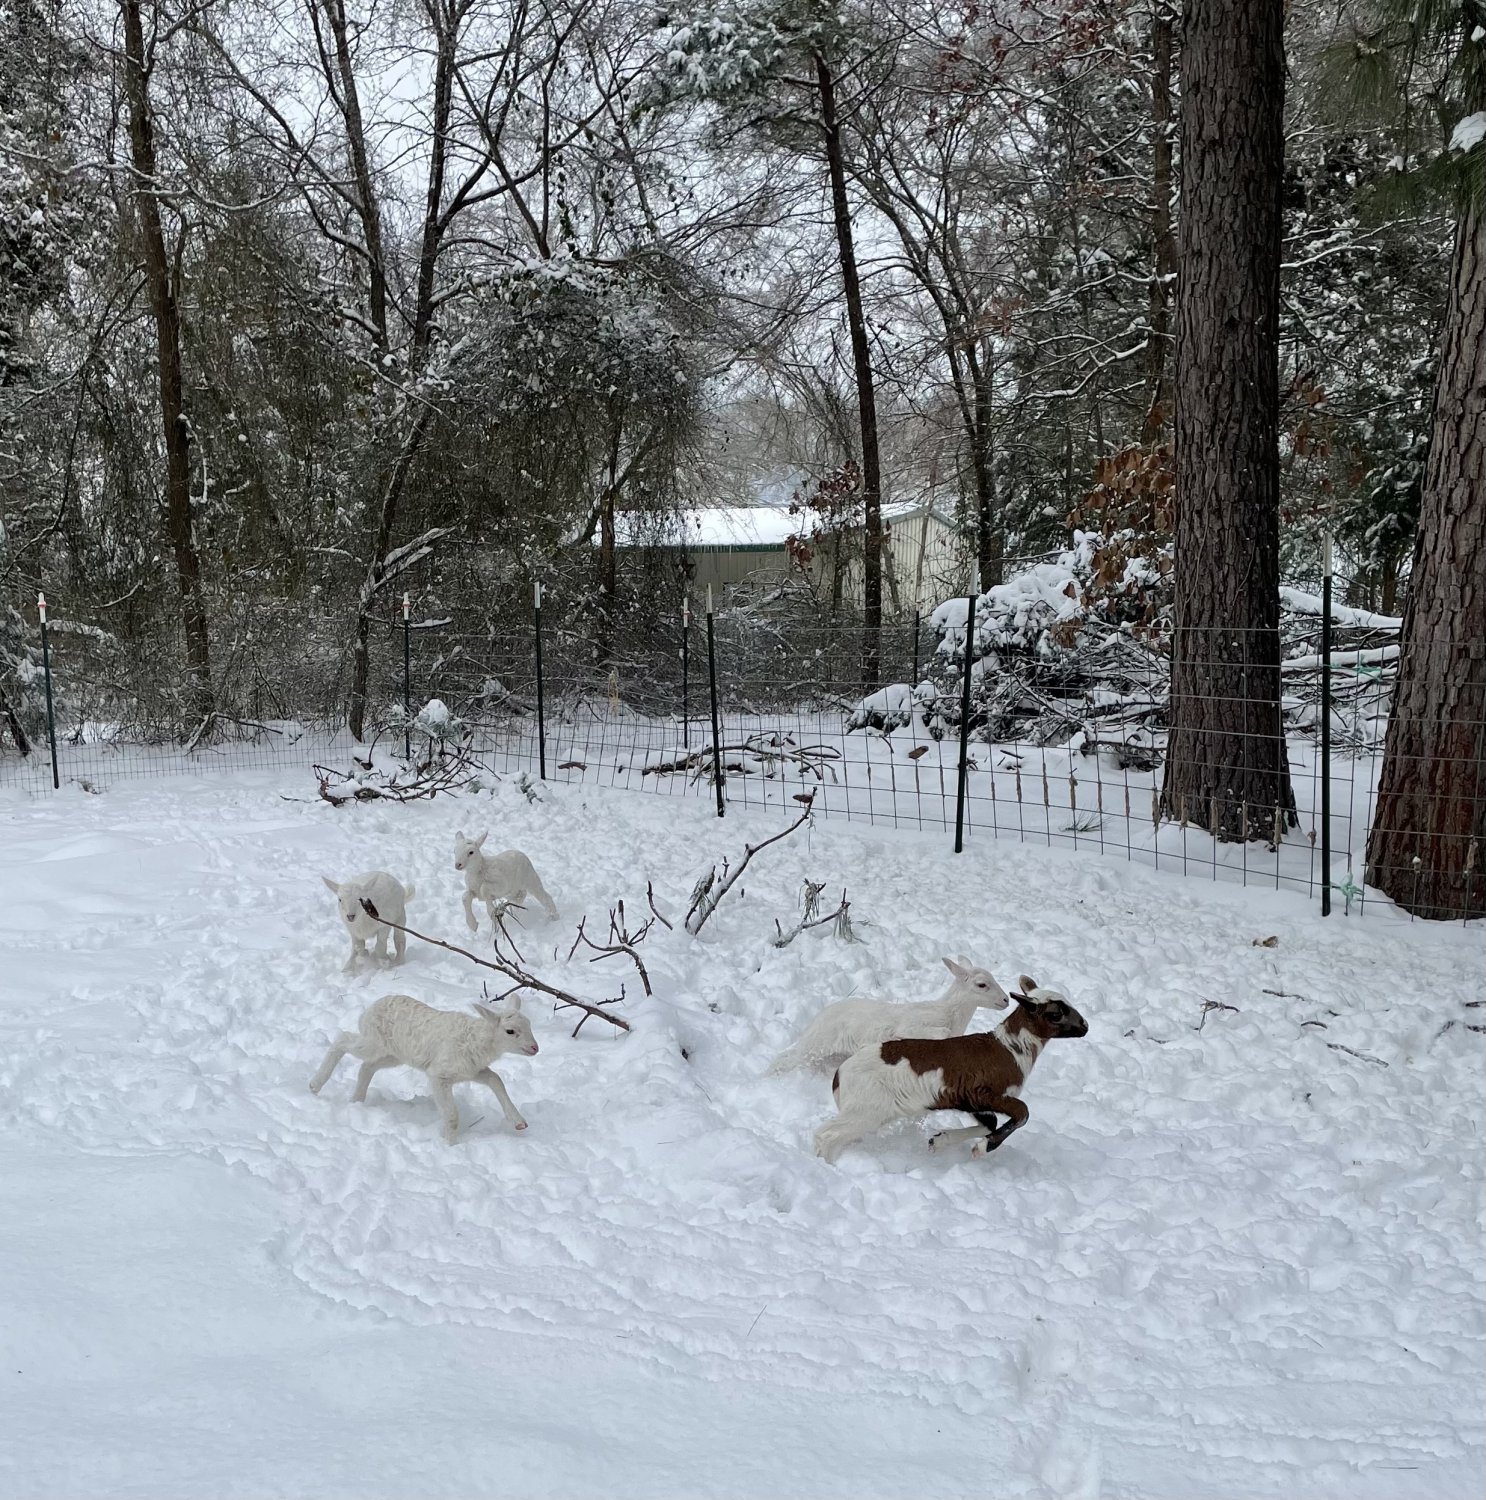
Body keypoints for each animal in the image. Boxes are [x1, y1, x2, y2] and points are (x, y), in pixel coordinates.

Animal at [309, 992, 539, 1144]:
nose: (535, 1048)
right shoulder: (439, 1074)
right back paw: (315, 1085)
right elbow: (452, 1116)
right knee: (343, 1039)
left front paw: (519, 1122)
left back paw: (356, 1101)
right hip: (373, 1041)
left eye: (530, 1025)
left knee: (367, 1067)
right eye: (510, 1031)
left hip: (394, 1054)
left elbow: (496, 1080)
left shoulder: (472, 1071)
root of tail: (369, 1009)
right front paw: (451, 1146)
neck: (478, 1040)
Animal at [768, 957, 1010, 1074]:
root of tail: (813, 1024)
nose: (1006, 1000)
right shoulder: (912, 1027)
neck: (949, 1013)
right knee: (783, 1060)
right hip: (816, 1046)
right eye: (982, 984)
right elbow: (937, 1032)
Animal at [813, 976, 1087, 1164]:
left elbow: (990, 1122)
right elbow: (1022, 1113)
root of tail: (839, 1076)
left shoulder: (970, 1100)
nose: (1085, 1026)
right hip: (867, 1108)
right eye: (1055, 1014)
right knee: (825, 1134)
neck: (1010, 1048)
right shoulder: (985, 1092)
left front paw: (939, 1141)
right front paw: (981, 1149)